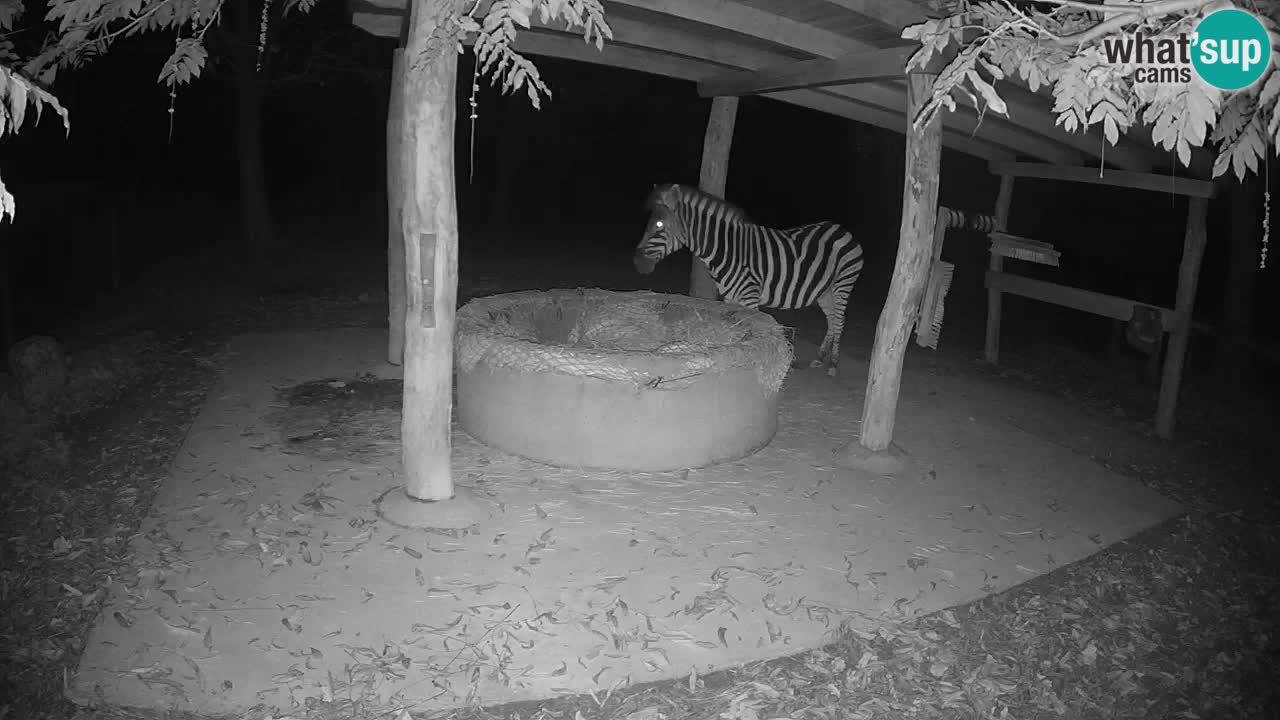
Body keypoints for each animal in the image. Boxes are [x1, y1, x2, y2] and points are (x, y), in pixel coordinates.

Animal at [633, 183, 865, 377]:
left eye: (659, 225)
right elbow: (734, 328)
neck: (726, 250)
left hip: (843, 283)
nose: (637, 263)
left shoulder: (750, 297)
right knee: (831, 320)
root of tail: (842, 229)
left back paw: (833, 364)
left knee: (840, 321)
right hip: (824, 290)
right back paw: (820, 358)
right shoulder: (730, 297)